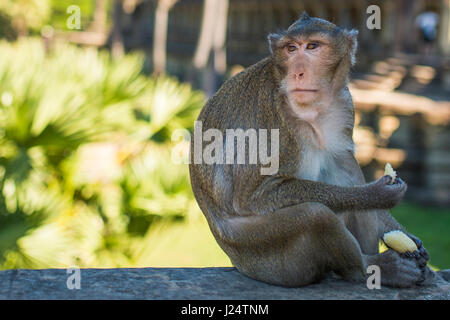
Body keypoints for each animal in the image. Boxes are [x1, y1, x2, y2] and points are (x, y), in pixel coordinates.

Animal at [188, 13, 434, 288]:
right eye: (291, 49)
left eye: (313, 46)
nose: (298, 73)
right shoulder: (272, 119)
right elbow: (252, 197)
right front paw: (375, 195)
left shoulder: (345, 105)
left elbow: (343, 162)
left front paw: (406, 235)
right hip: (262, 253)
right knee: (315, 215)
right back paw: (371, 269)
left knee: (344, 170)